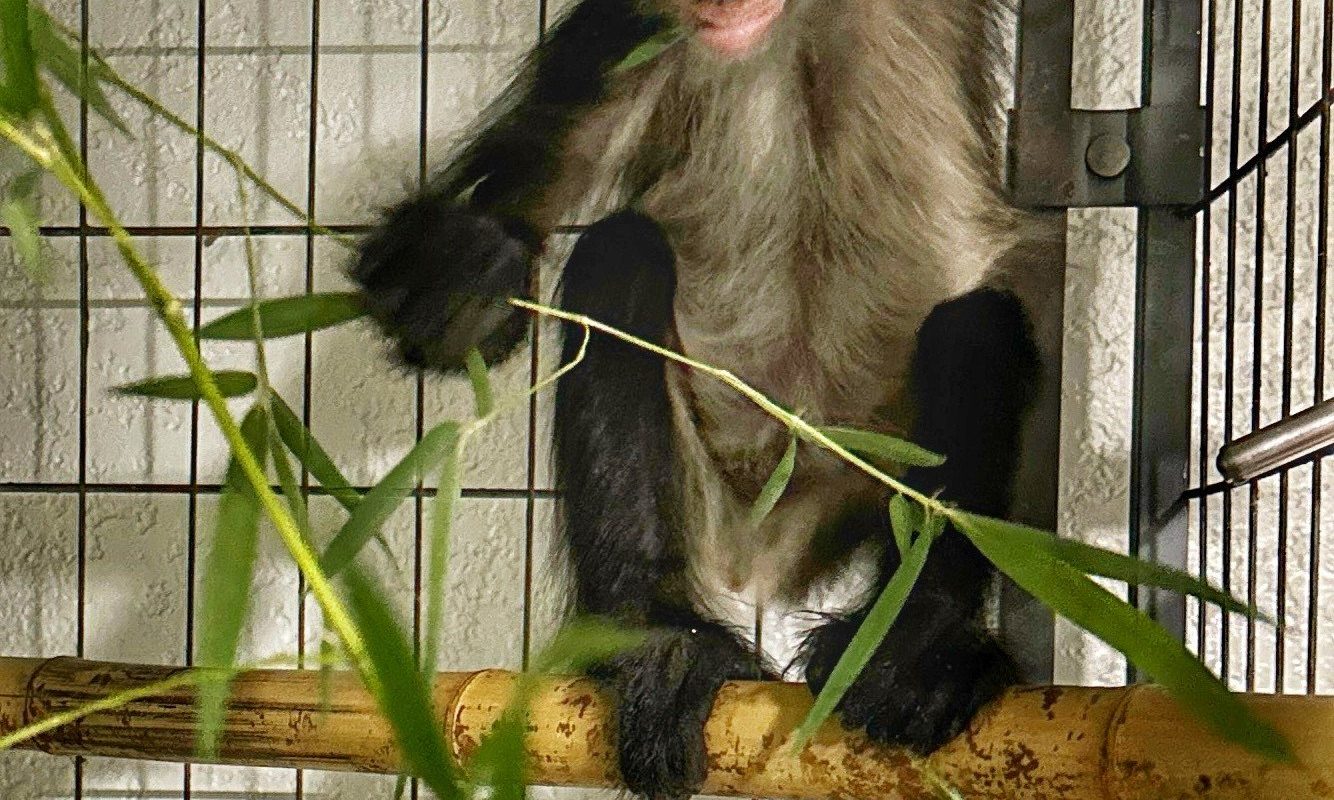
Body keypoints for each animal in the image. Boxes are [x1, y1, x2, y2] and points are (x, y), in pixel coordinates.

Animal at [352, 1, 1056, 797]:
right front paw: (458, 269)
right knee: (620, 257)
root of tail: (770, 547)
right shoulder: (628, 28)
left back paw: (919, 641)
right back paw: (660, 640)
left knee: (976, 325)